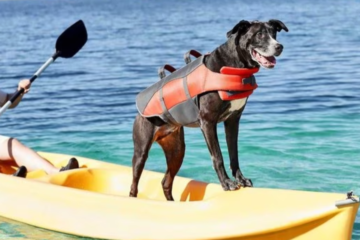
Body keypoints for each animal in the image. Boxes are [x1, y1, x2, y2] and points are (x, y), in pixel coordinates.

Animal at [131, 19, 288, 201]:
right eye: (259, 34)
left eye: (274, 33)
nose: (279, 46)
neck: (234, 65)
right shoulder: (207, 122)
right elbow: (217, 156)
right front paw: (226, 183)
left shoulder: (233, 120)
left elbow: (234, 154)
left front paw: (240, 179)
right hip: (142, 149)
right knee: (134, 184)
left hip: (177, 150)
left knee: (166, 182)